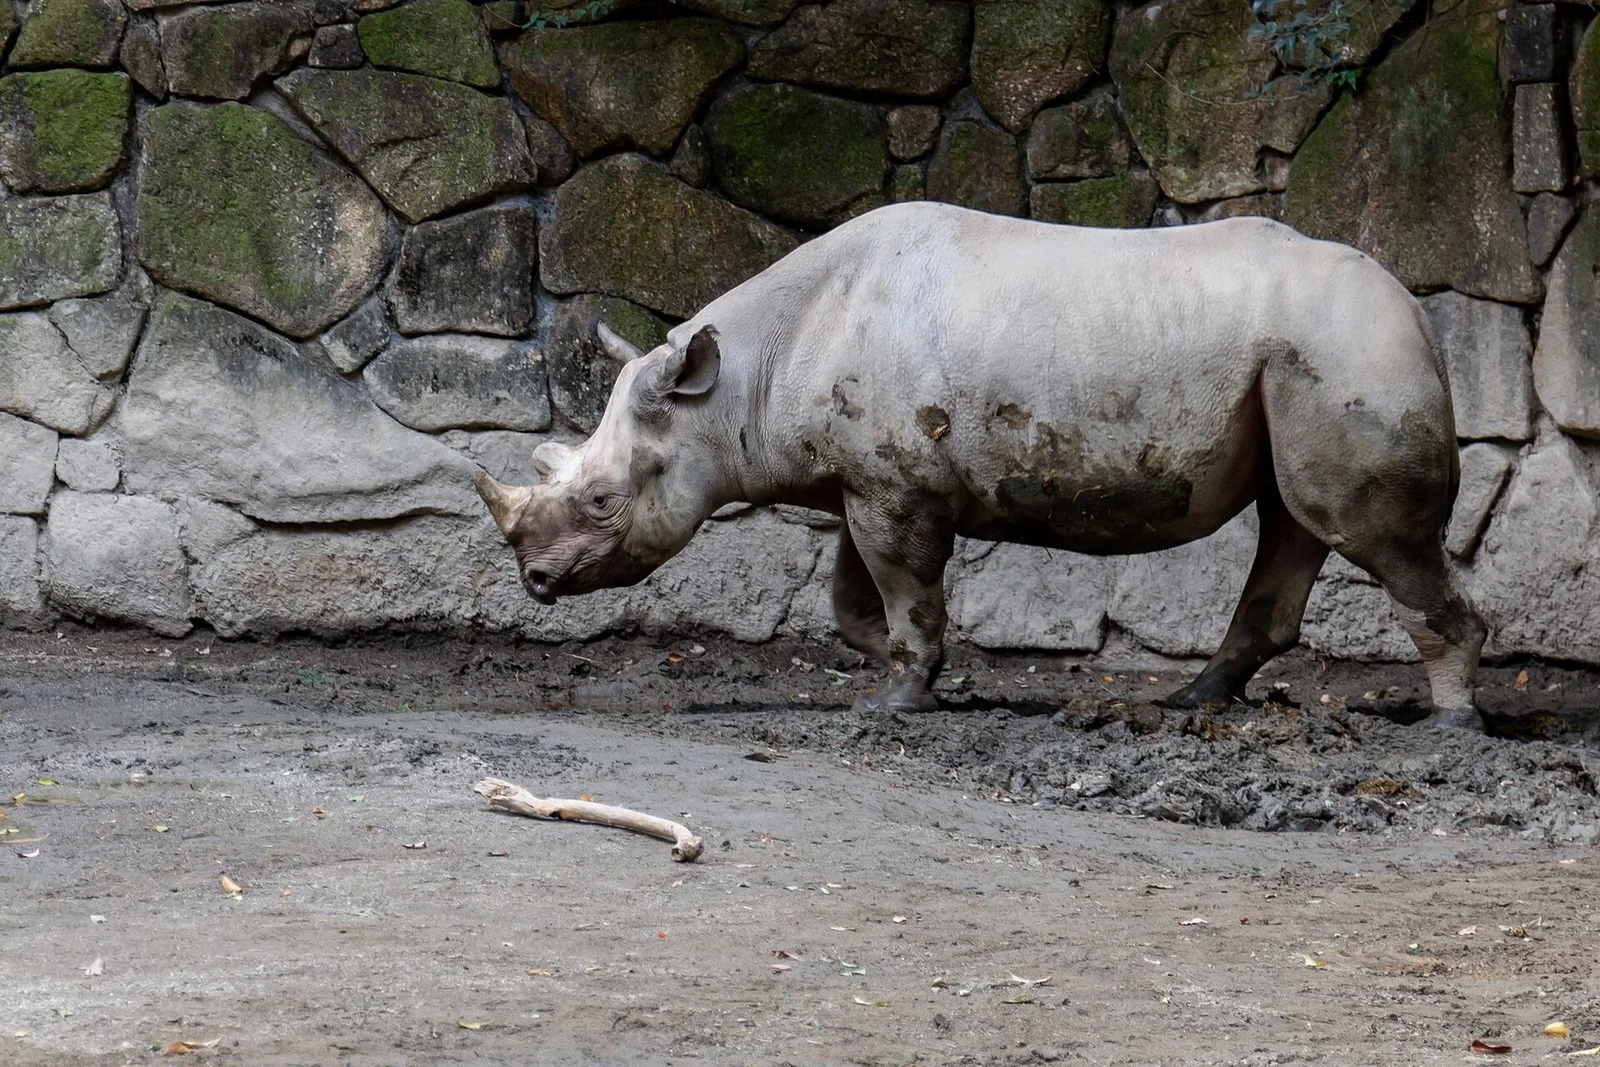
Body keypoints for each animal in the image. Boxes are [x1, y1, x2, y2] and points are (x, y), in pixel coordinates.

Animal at [477, 202, 1487, 730]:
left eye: (602, 499)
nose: (534, 581)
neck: (735, 387)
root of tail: (1419, 311)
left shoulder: (892, 489)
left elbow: (902, 588)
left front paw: (896, 702)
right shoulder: (870, 479)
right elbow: (855, 596)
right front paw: (913, 673)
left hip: (1348, 349)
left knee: (1364, 531)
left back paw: (1448, 727)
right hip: (1312, 354)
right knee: (1295, 521)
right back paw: (1188, 702)